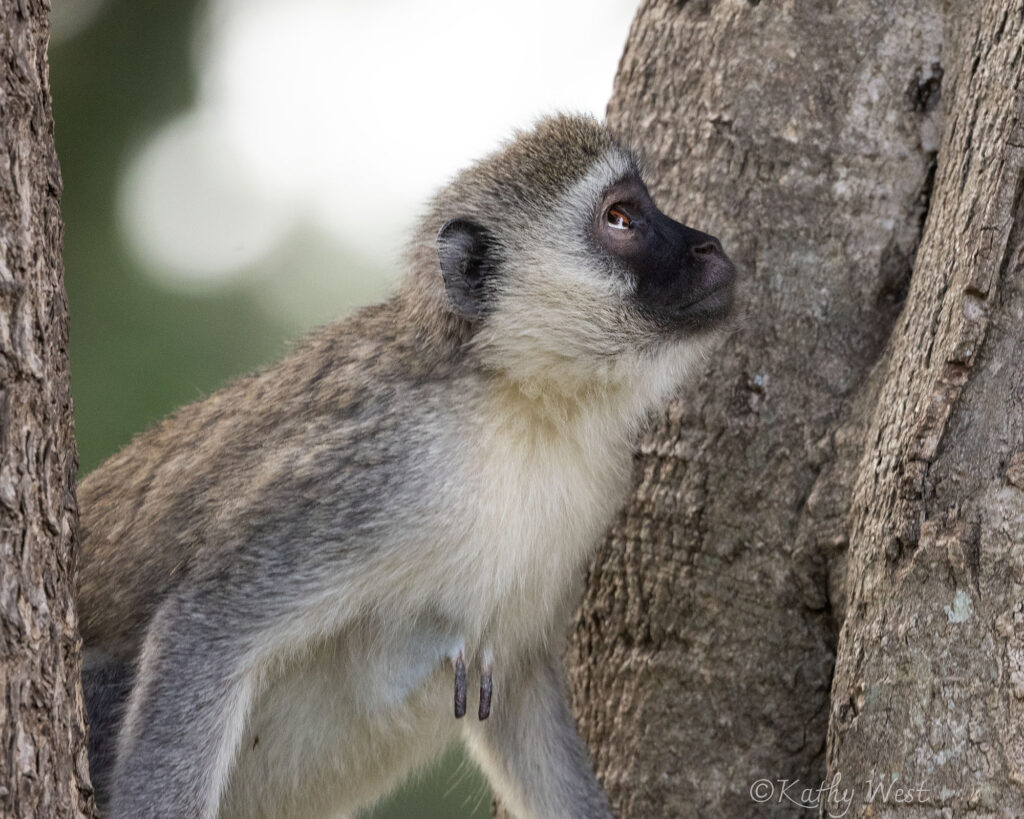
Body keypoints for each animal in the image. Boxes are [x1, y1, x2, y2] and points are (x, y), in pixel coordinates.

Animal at [77, 113, 736, 819]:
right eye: (620, 218)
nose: (707, 246)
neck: (516, 403)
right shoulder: (379, 469)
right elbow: (207, 626)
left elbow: (520, 692)